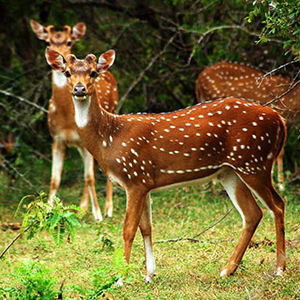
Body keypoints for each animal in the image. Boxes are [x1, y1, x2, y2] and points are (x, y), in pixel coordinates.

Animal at [30, 19, 118, 220]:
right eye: (48, 42)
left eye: (69, 42)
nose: (60, 58)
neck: (67, 120)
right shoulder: (56, 138)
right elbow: (55, 179)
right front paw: (47, 210)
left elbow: (89, 177)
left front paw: (98, 215)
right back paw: (82, 208)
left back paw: (108, 208)